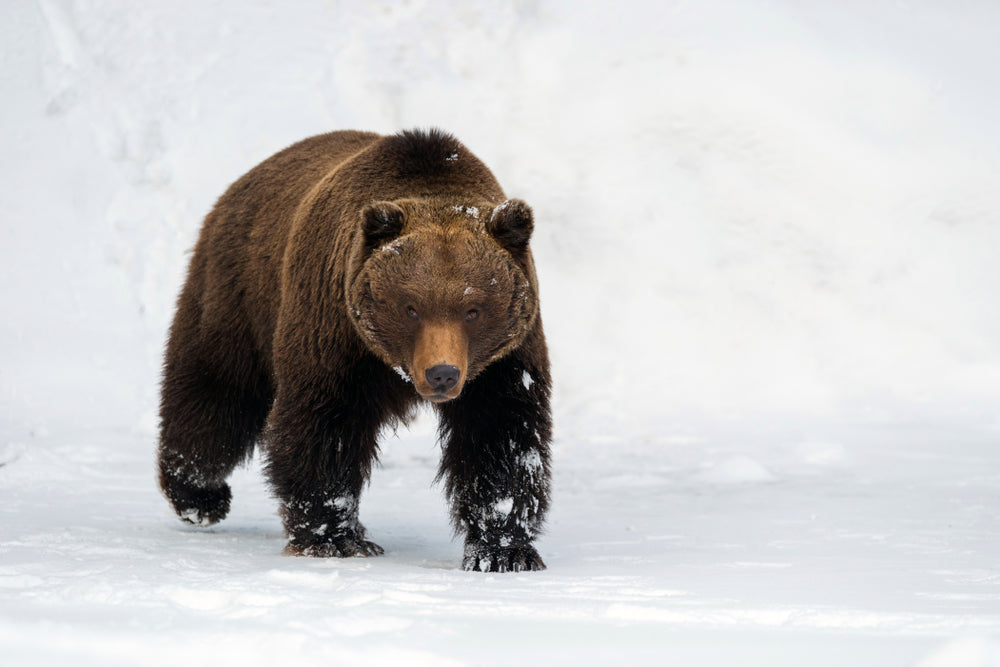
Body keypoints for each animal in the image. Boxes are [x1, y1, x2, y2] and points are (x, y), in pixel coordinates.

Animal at [157, 128, 552, 572]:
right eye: (411, 307)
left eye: (473, 309)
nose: (442, 373)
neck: (392, 364)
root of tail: (239, 185)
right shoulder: (336, 332)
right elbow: (325, 424)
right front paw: (333, 538)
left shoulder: (503, 359)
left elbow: (502, 436)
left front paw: (503, 551)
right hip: (240, 293)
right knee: (216, 396)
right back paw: (199, 495)